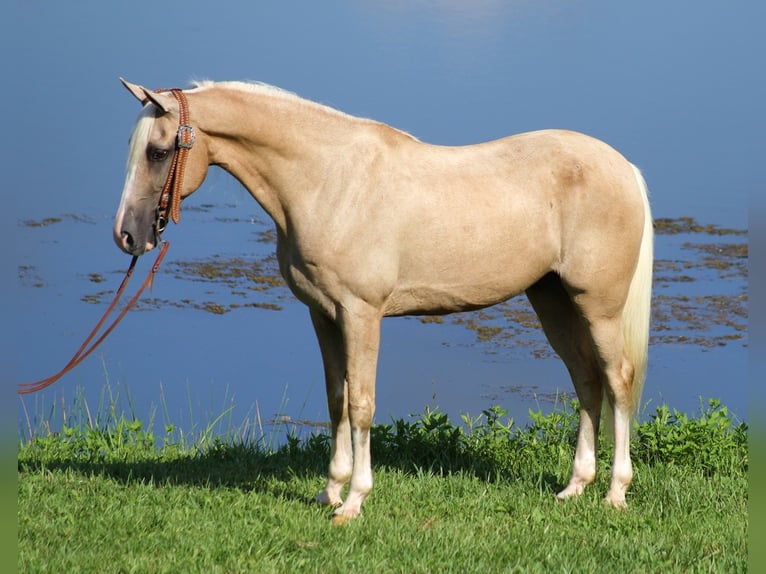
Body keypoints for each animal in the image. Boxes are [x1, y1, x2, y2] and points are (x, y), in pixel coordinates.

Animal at [114, 81, 656, 528]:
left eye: (158, 152)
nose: (128, 236)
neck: (328, 182)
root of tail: (624, 168)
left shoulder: (361, 314)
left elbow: (361, 403)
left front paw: (354, 501)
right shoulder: (323, 315)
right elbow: (336, 399)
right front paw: (329, 491)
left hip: (598, 308)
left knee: (617, 381)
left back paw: (615, 492)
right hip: (552, 300)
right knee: (586, 380)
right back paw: (574, 487)